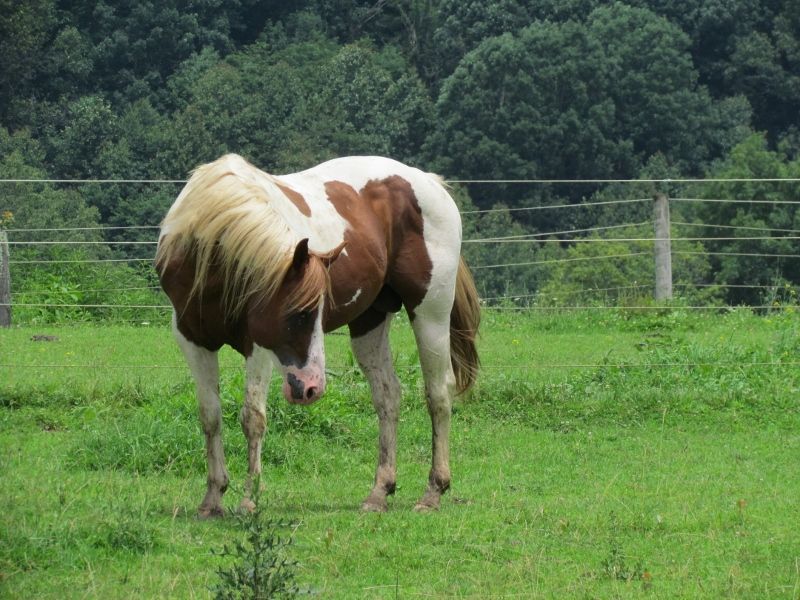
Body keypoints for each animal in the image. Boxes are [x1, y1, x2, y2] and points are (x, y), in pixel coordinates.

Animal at [156, 154, 480, 516]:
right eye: (299, 314)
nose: (310, 389)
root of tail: (429, 182)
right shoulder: (192, 340)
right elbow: (210, 417)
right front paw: (212, 498)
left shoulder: (257, 344)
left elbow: (253, 417)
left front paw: (249, 499)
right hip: (369, 322)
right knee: (388, 397)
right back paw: (379, 491)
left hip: (430, 313)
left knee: (438, 394)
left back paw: (433, 491)